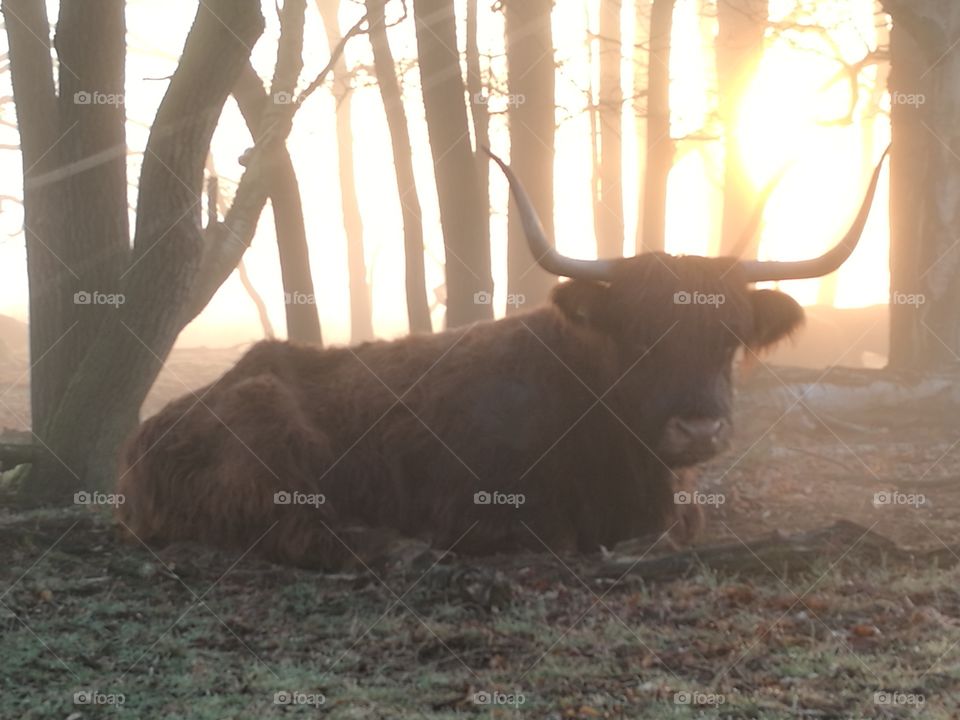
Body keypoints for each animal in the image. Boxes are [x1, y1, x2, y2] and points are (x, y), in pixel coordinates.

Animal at [116, 149, 888, 569]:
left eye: (728, 335)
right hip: (270, 440)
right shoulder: (489, 507)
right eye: (639, 334)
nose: (699, 429)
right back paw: (400, 548)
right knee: (301, 528)